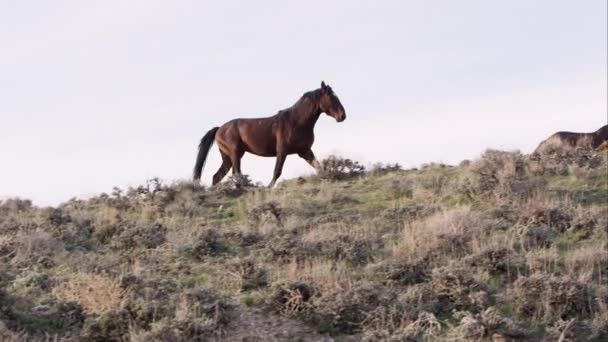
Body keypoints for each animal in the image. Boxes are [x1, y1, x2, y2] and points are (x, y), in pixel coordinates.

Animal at [195, 82, 346, 187]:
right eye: (331, 97)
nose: (342, 116)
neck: (296, 121)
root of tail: (219, 129)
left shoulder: (305, 151)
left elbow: (319, 167)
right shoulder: (282, 151)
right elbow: (277, 171)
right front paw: (268, 187)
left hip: (228, 157)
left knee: (217, 176)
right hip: (235, 153)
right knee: (235, 173)